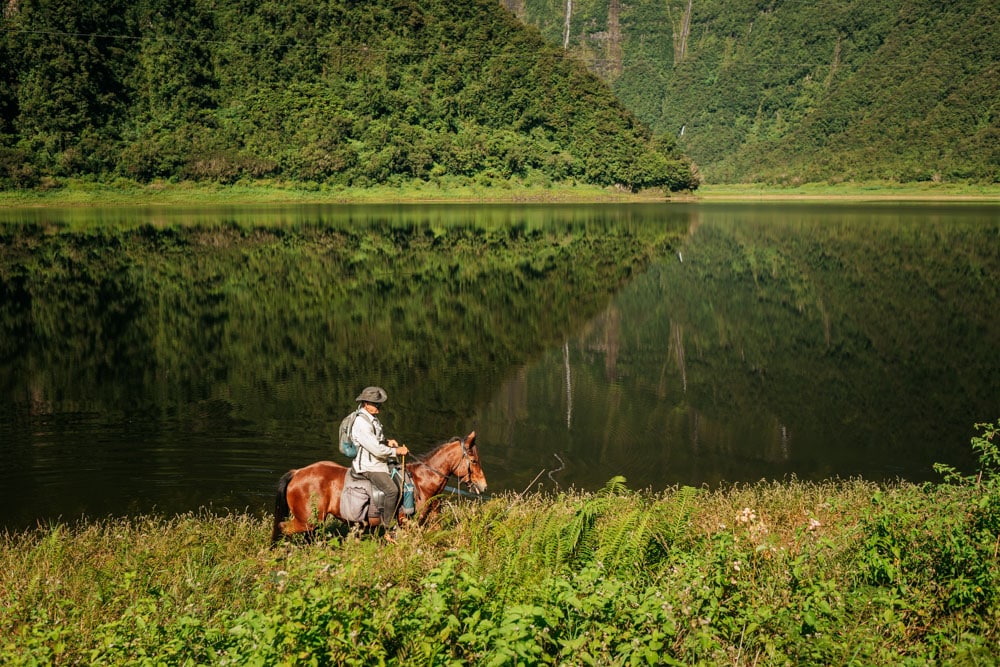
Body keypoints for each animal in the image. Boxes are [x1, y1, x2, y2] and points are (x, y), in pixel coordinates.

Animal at [270, 434, 488, 544]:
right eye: (474, 461)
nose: (483, 485)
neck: (422, 482)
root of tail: (297, 473)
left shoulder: (430, 522)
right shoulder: (407, 523)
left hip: (312, 522)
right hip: (306, 521)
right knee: (282, 528)